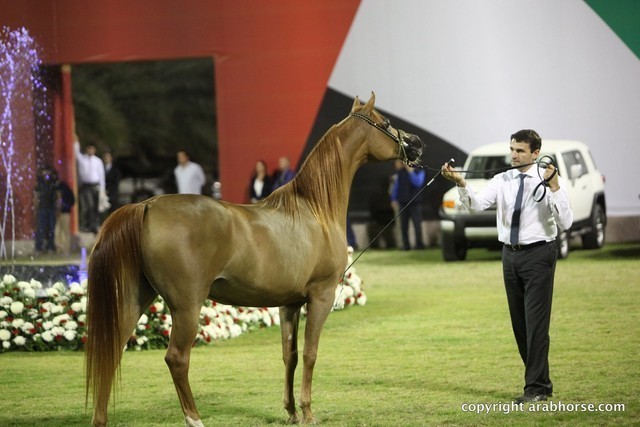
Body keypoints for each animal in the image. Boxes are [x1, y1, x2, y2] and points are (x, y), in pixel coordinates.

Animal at [85, 92, 425, 426]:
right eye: (386, 122)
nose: (417, 143)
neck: (315, 209)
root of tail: (146, 205)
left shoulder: (290, 304)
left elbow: (290, 355)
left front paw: (291, 412)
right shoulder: (321, 296)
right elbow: (311, 353)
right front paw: (308, 412)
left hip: (135, 297)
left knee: (112, 350)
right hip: (187, 305)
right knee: (177, 358)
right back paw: (195, 418)